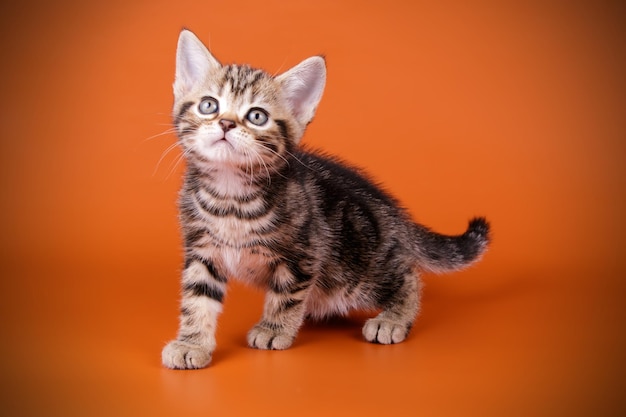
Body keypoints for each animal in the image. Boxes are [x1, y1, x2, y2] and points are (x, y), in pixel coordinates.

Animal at [160, 28, 488, 368]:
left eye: (257, 116)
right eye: (209, 105)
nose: (226, 123)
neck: (230, 195)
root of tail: (397, 217)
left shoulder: (304, 253)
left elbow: (285, 296)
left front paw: (274, 328)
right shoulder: (202, 250)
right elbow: (197, 299)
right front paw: (191, 343)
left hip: (355, 272)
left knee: (408, 277)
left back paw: (392, 319)